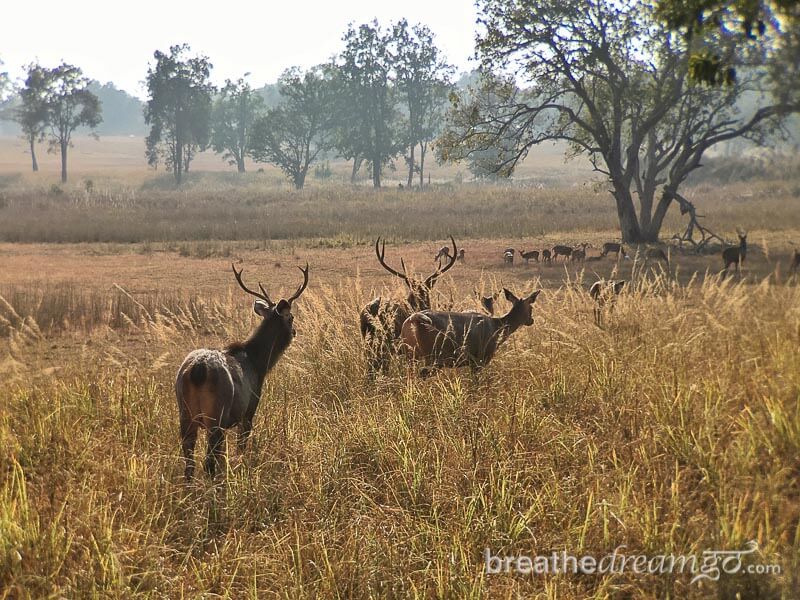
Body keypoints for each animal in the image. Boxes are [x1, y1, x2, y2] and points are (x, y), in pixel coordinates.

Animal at [175, 262, 310, 478]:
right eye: (291, 317)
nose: (295, 332)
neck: (259, 363)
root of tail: (198, 370)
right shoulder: (249, 410)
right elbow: (241, 448)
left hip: (185, 412)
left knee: (189, 463)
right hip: (217, 414)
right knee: (208, 462)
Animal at [404, 286, 540, 376]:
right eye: (531, 308)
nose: (531, 320)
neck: (497, 328)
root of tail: (414, 318)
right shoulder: (480, 358)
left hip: (411, 353)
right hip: (434, 354)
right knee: (422, 373)